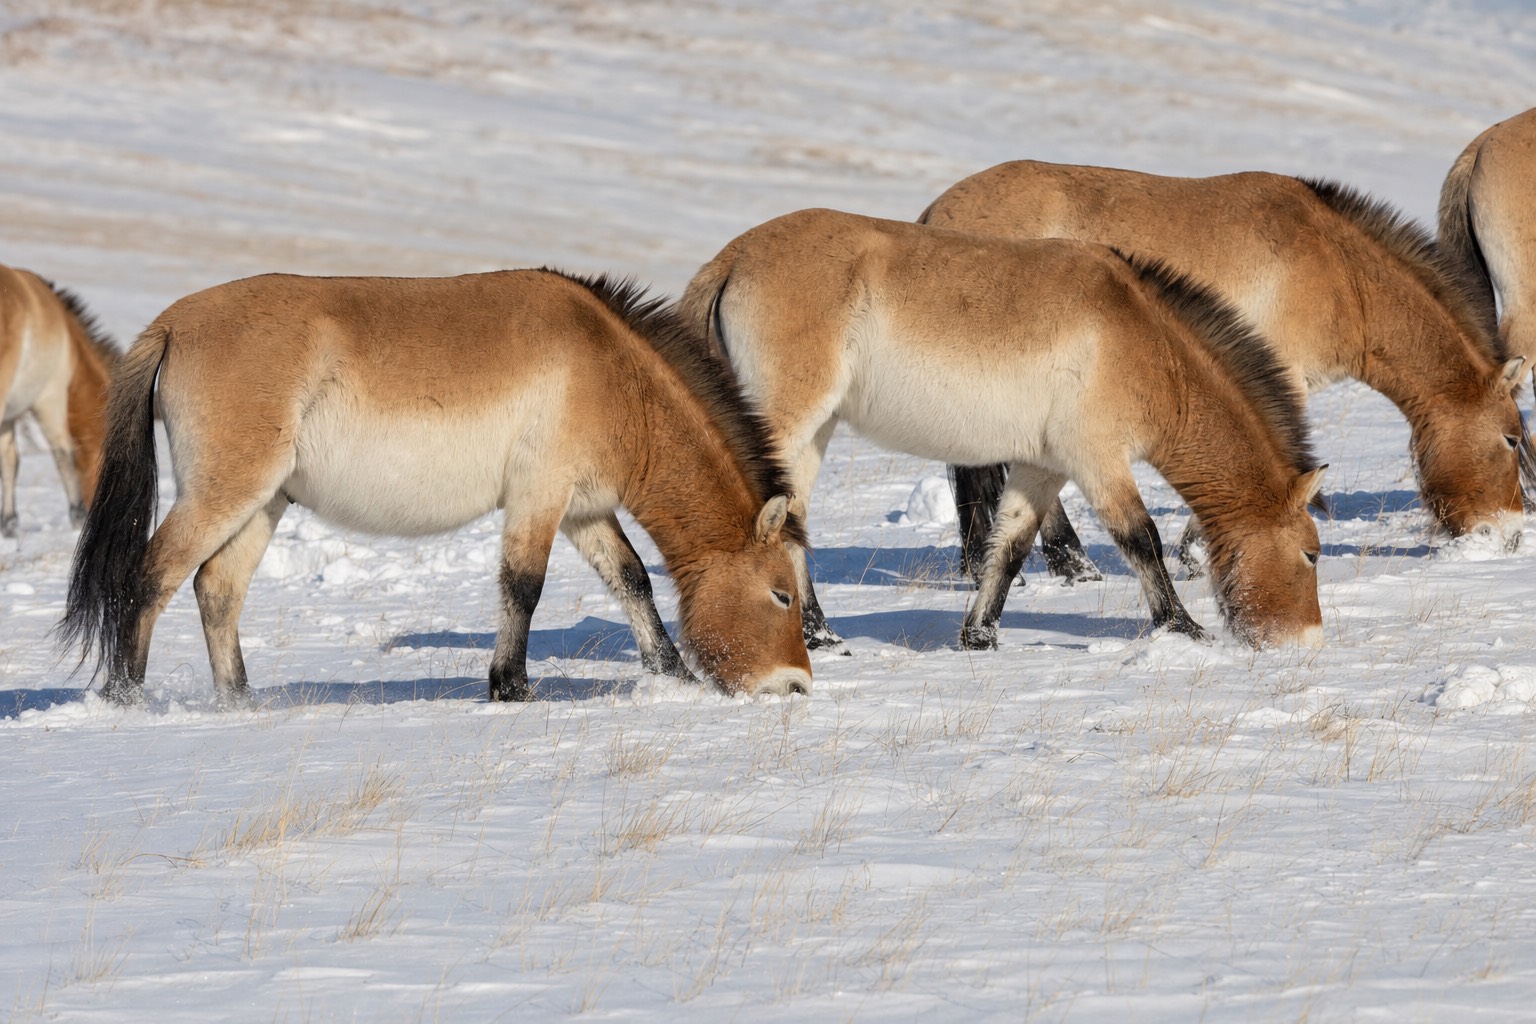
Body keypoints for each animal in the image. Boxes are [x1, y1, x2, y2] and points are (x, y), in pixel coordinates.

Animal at [0, 264, 117, 538]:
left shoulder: (10, 414)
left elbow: (9, 460)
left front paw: (9, 523)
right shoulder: (49, 398)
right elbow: (64, 454)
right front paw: (78, 516)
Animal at [57, 270, 812, 706]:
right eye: (781, 593)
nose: (796, 685)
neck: (612, 373)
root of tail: (172, 324)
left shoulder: (581, 510)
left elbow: (632, 580)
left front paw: (672, 675)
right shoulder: (538, 495)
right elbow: (522, 587)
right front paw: (510, 686)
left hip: (263, 502)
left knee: (216, 589)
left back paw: (238, 701)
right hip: (225, 493)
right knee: (149, 577)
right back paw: (125, 698)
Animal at [669, 208, 1325, 650]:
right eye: (1311, 555)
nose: (1306, 639)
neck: (1142, 339)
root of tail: (732, 260)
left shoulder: (1044, 466)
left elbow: (1009, 545)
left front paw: (979, 634)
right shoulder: (1098, 460)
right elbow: (1141, 538)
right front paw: (1183, 626)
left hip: (813, 434)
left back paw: (820, 635)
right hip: (787, 426)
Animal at [922, 161, 1528, 582]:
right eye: (1511, 438)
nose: (1509, 537)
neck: (1336, 272)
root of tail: (935, 215)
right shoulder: (1280, 378)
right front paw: (1198, 555)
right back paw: (1062, 565)